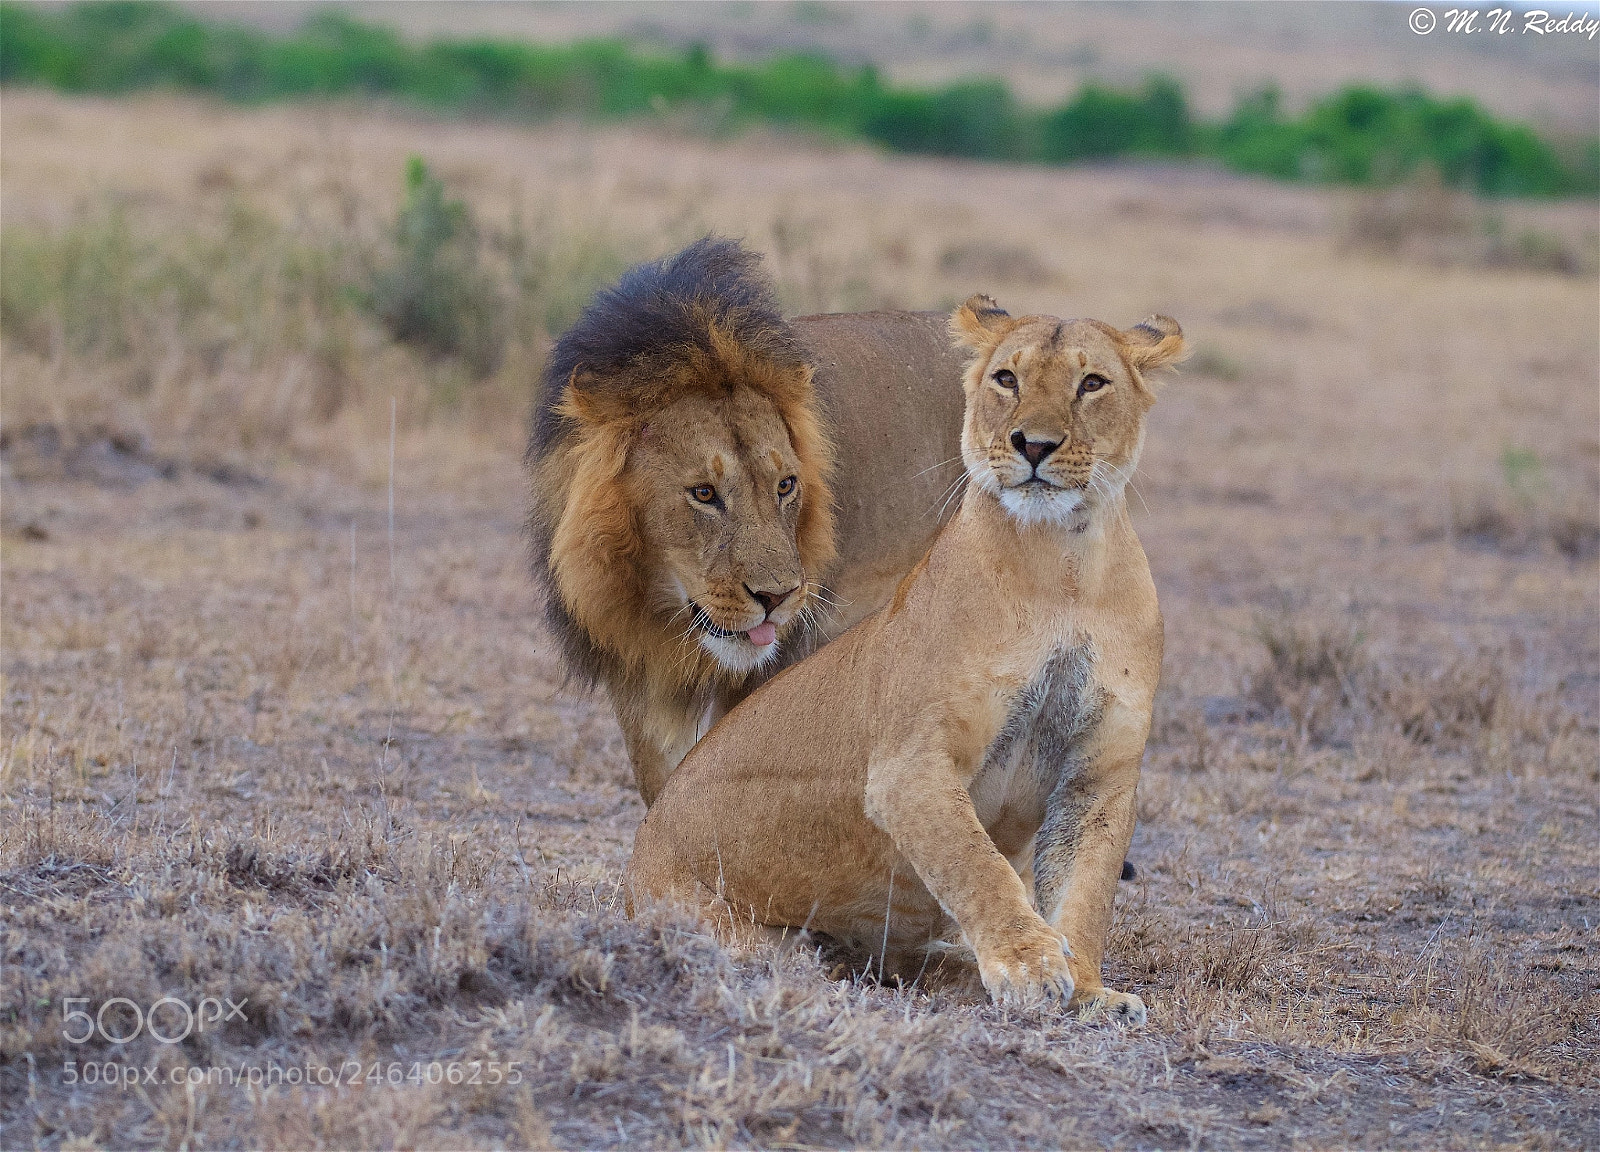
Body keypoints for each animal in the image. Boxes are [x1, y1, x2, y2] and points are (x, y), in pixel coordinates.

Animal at [626, 297, 1185, 1023]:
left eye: (1092, 384)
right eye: (1006, 379)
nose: (1033, 445)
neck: (1065, 565)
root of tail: (634, 861)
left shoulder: (1098, 774)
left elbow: (1084, 891)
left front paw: (1089, 989)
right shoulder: (910, 763)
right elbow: (974, 861)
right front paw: (1029, 966)